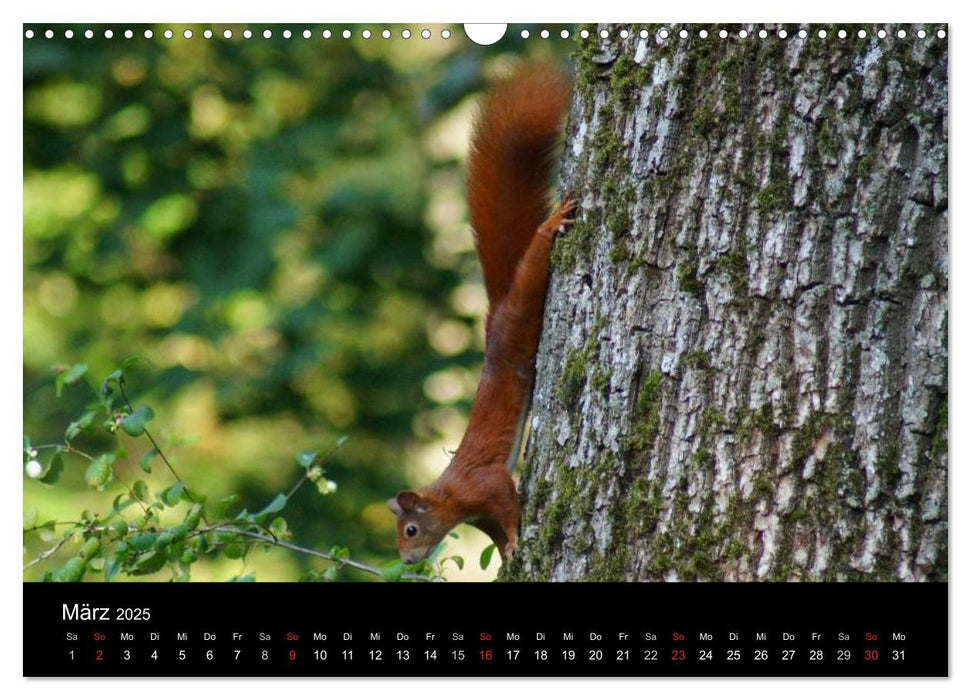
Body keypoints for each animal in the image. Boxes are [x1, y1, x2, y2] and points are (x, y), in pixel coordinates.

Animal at [388, 64, 572, 564]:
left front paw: (514, 539)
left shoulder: (485, 483)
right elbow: (492, 529)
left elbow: (507, 505)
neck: (451, 495)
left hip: (523, 311)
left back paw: (549, 228)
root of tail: (496, 317)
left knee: (532, 269)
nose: (407, 561)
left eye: (411, 530)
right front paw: (506, 554)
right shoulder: (478, 512)